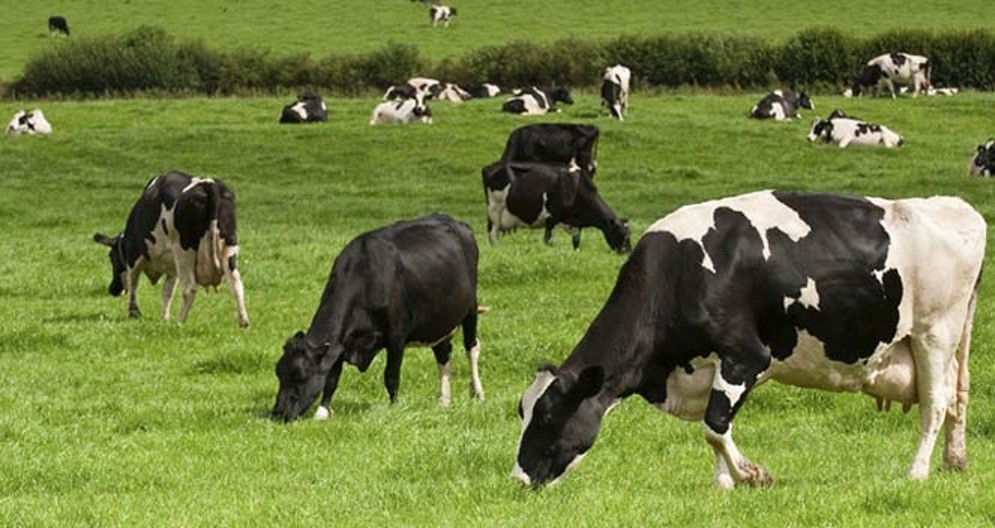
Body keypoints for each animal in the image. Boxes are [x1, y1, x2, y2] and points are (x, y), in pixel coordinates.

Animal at [92, 171, 250, 327]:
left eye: (111, 258)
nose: (112, 289)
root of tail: (209, 184)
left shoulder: (133, 257)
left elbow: (133, 284)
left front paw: (134, 313)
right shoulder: (173, 268)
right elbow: (167, 291)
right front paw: (164, 318)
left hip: (184, 251)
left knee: (190, 288)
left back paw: (180, 321)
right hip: (229, 248)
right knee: (236, 284)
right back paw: (243, 322)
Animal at [271, 213, 485, 422]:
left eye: (301, 376)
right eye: (279, 373)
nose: (278, 414)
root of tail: (456, 222)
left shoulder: (397, 336)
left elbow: (391, 375)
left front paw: (394, 407)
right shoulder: (340, 341)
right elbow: (332, 378)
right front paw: (323, 411)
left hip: (470, 308)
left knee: (471, 347)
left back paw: (477, 392)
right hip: (438, 321)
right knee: (443, 355)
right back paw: (444, 401)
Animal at [481, 161, 630, 253]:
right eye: (622, 235)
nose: (627, 252)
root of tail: (490, 166)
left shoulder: (576, 225)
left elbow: (576, 243)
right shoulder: (551, 217)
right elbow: (549, 241)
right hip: (495, 210)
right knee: (492, 235)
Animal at [513, 190, 985, 489]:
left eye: (548, 415)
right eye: (523, 410)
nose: (517, 479)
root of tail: (958, 206)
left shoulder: (746, 354)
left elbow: (714, 425)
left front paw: (752, 475)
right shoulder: (714, 367)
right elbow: (718, 423)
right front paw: (723, 482)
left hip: (934, 333)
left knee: (935, 403)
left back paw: (917, 472)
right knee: (956, 399)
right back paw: (954, 461)